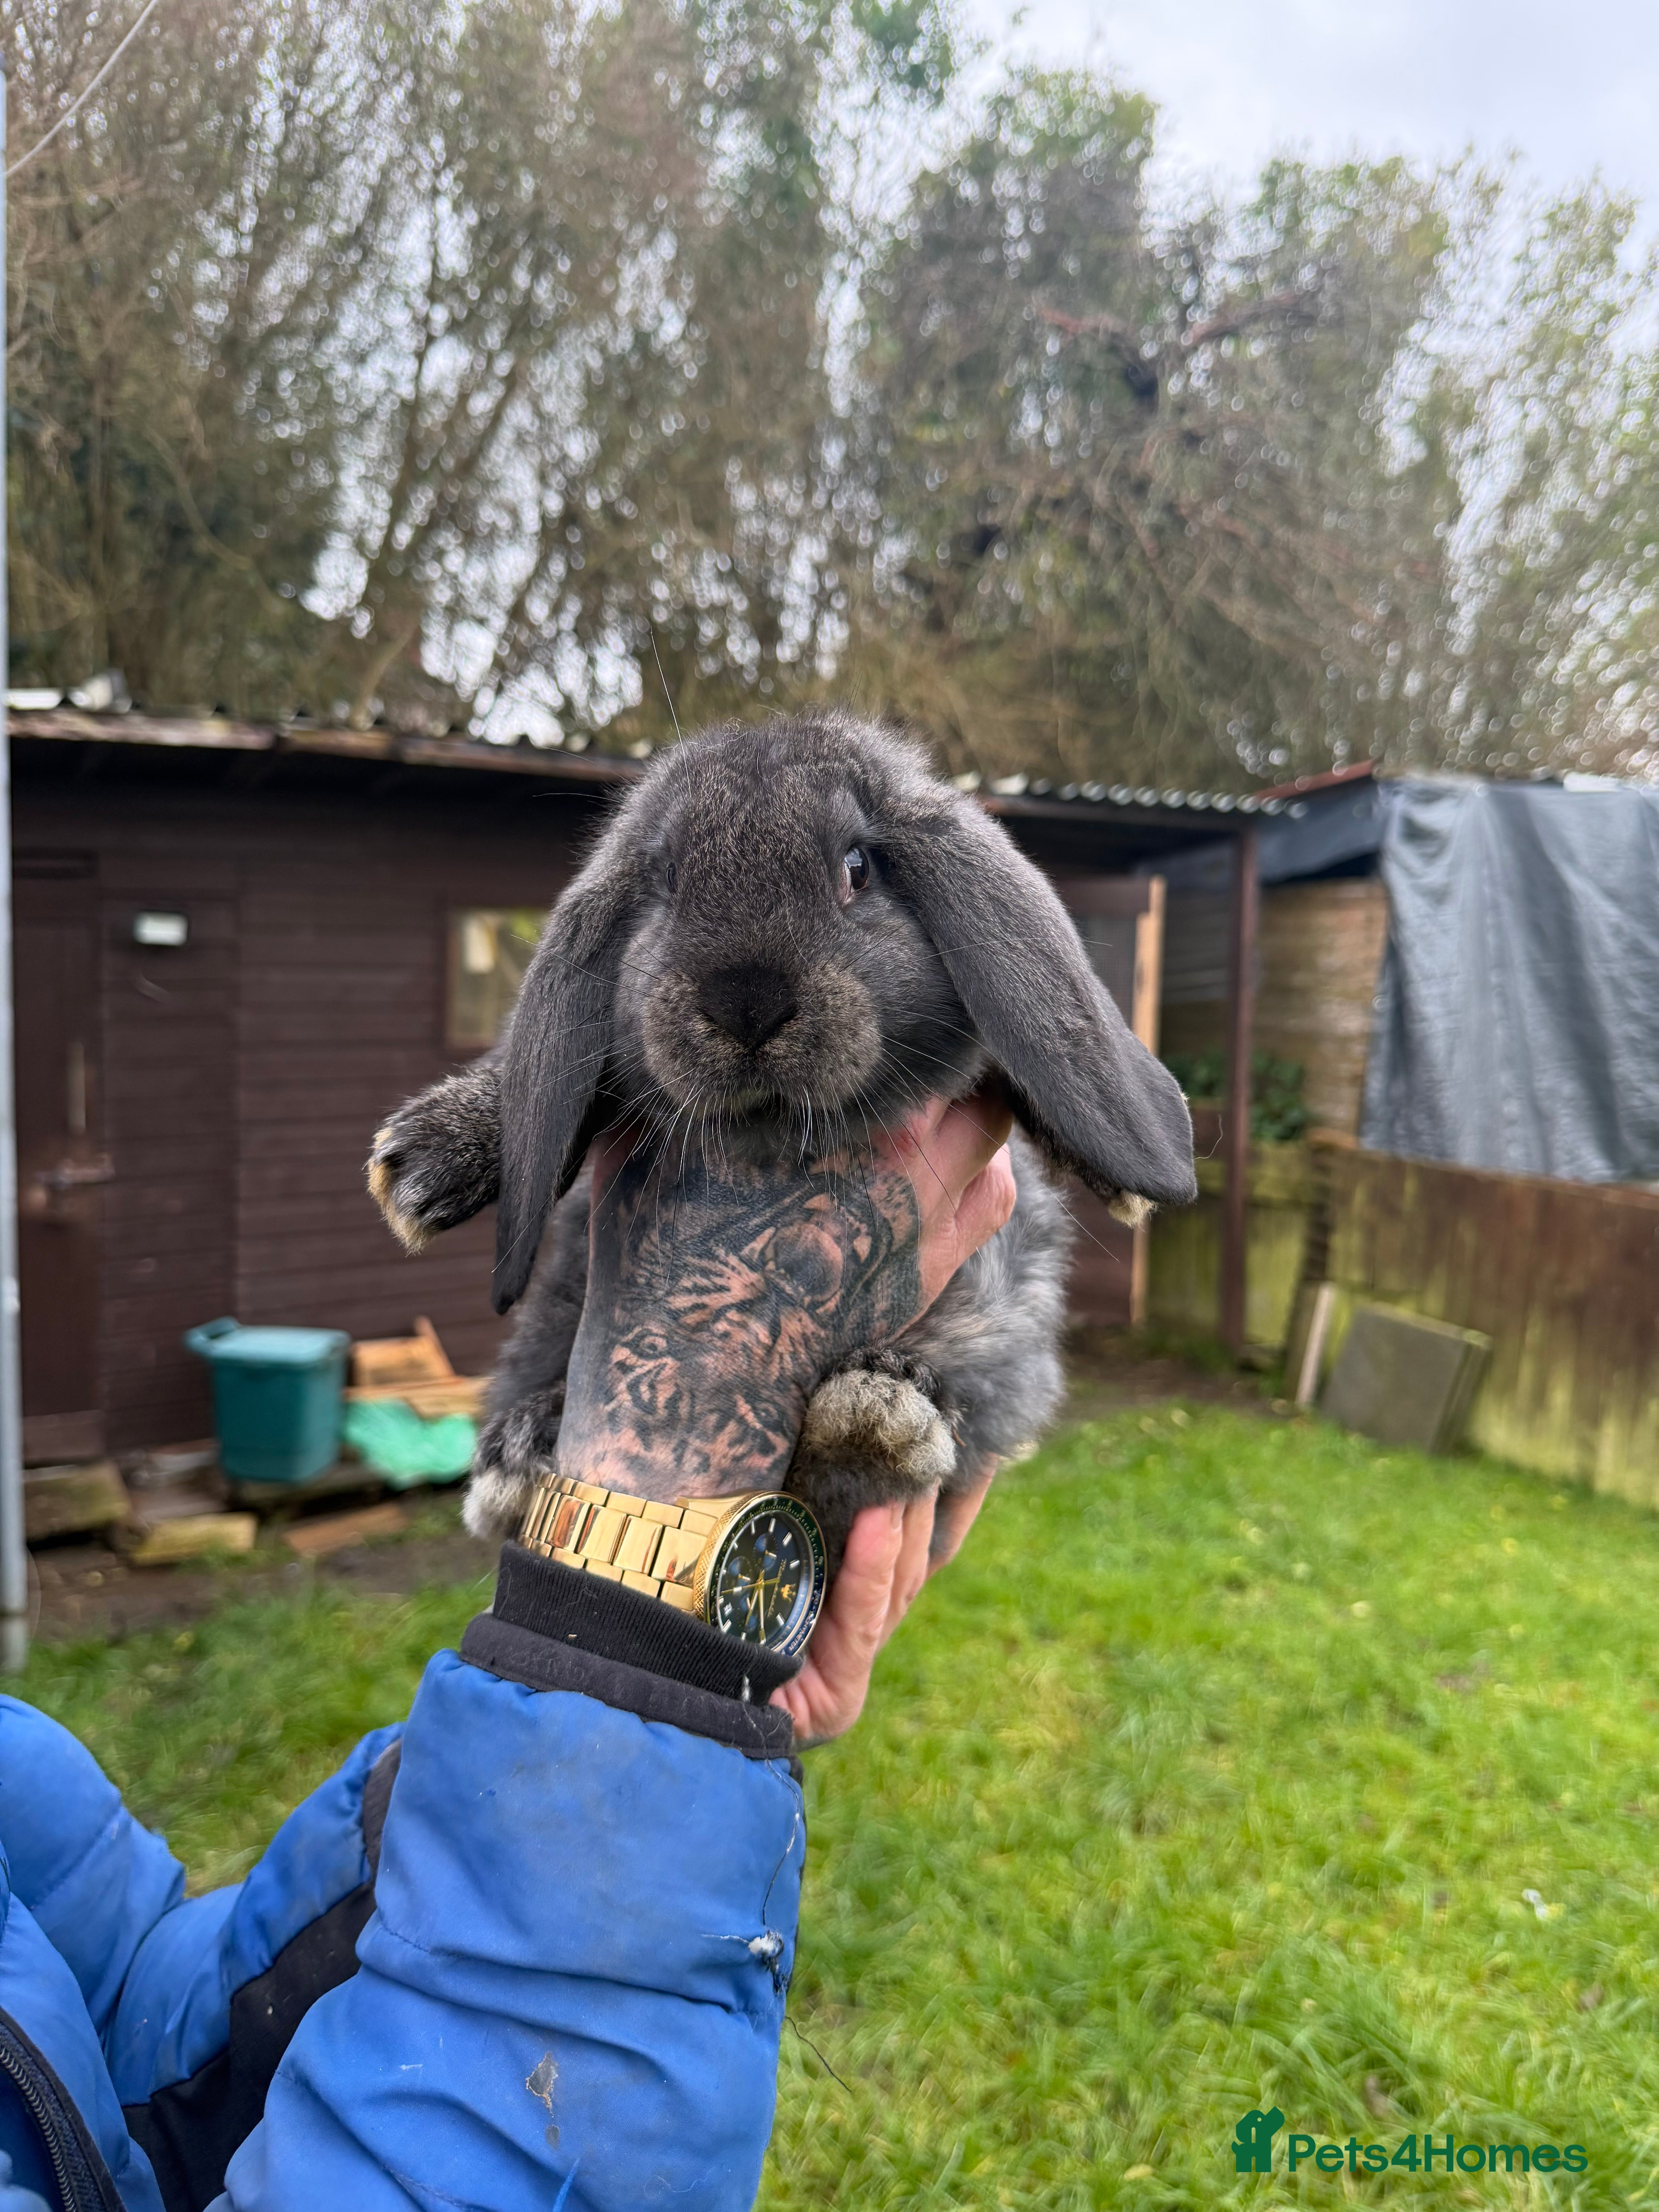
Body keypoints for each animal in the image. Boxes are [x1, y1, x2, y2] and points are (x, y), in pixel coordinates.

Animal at [367, 710, 1196, 1569]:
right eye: (664, 878)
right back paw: (520, 1456)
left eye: (857, 867)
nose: (746, 1003)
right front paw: (425, 1161)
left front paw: (1121, 1182)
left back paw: (873, 1417)